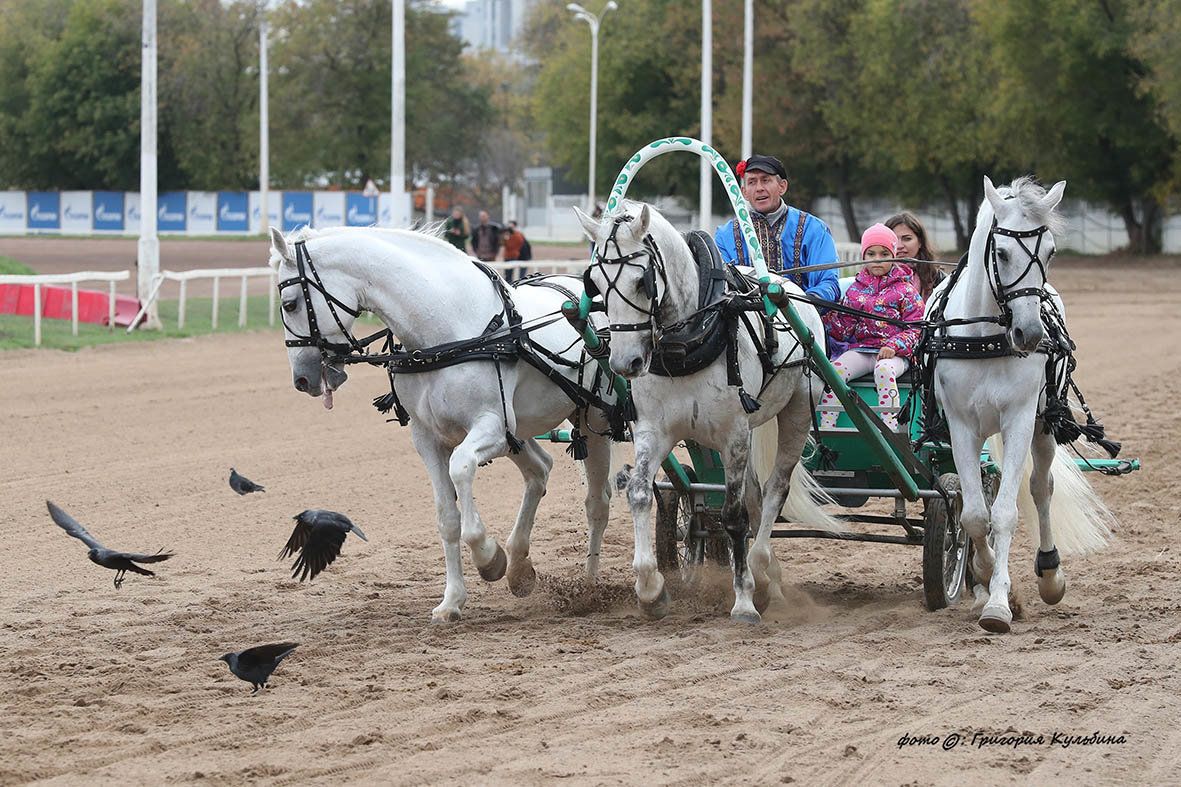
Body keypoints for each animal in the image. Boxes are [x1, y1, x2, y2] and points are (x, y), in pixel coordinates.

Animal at [269, 223, 618, 623]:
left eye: (290, 303)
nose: (302, 379)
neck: (444, 332)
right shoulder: (429, 438)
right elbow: (447, 518)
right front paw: (452, 600)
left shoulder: (490, 426)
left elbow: (461, 468)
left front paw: (488, 556)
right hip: (519, 431)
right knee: (540, 470)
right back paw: (519, 566)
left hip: (593, 420)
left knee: (597, 502)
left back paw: (590, 584)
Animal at [573, 200, 840, 619]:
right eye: (594, 285)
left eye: (642, 283)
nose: (624, 363)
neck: (686, 341)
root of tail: (788, 285)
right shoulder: (654, 430)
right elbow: (639, 493)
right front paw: (650, 588)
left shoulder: (734, 434)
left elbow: (733, 516)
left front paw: (744, 600)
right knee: (755, 495)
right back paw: (767, 574)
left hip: (795, 412)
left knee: (774, 490)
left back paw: (761, 567)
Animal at [930, 176, 1114, 633]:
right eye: (1001, 252)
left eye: (1050, 251)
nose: (1030, 334)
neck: (985, 339)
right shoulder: (961, 426)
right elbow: (974, 515)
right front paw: (983, 575)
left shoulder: (1018, 420)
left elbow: (1005, 513)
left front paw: (999, 603)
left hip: (1043, 424)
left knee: (1040, 488)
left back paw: (1050, 574)